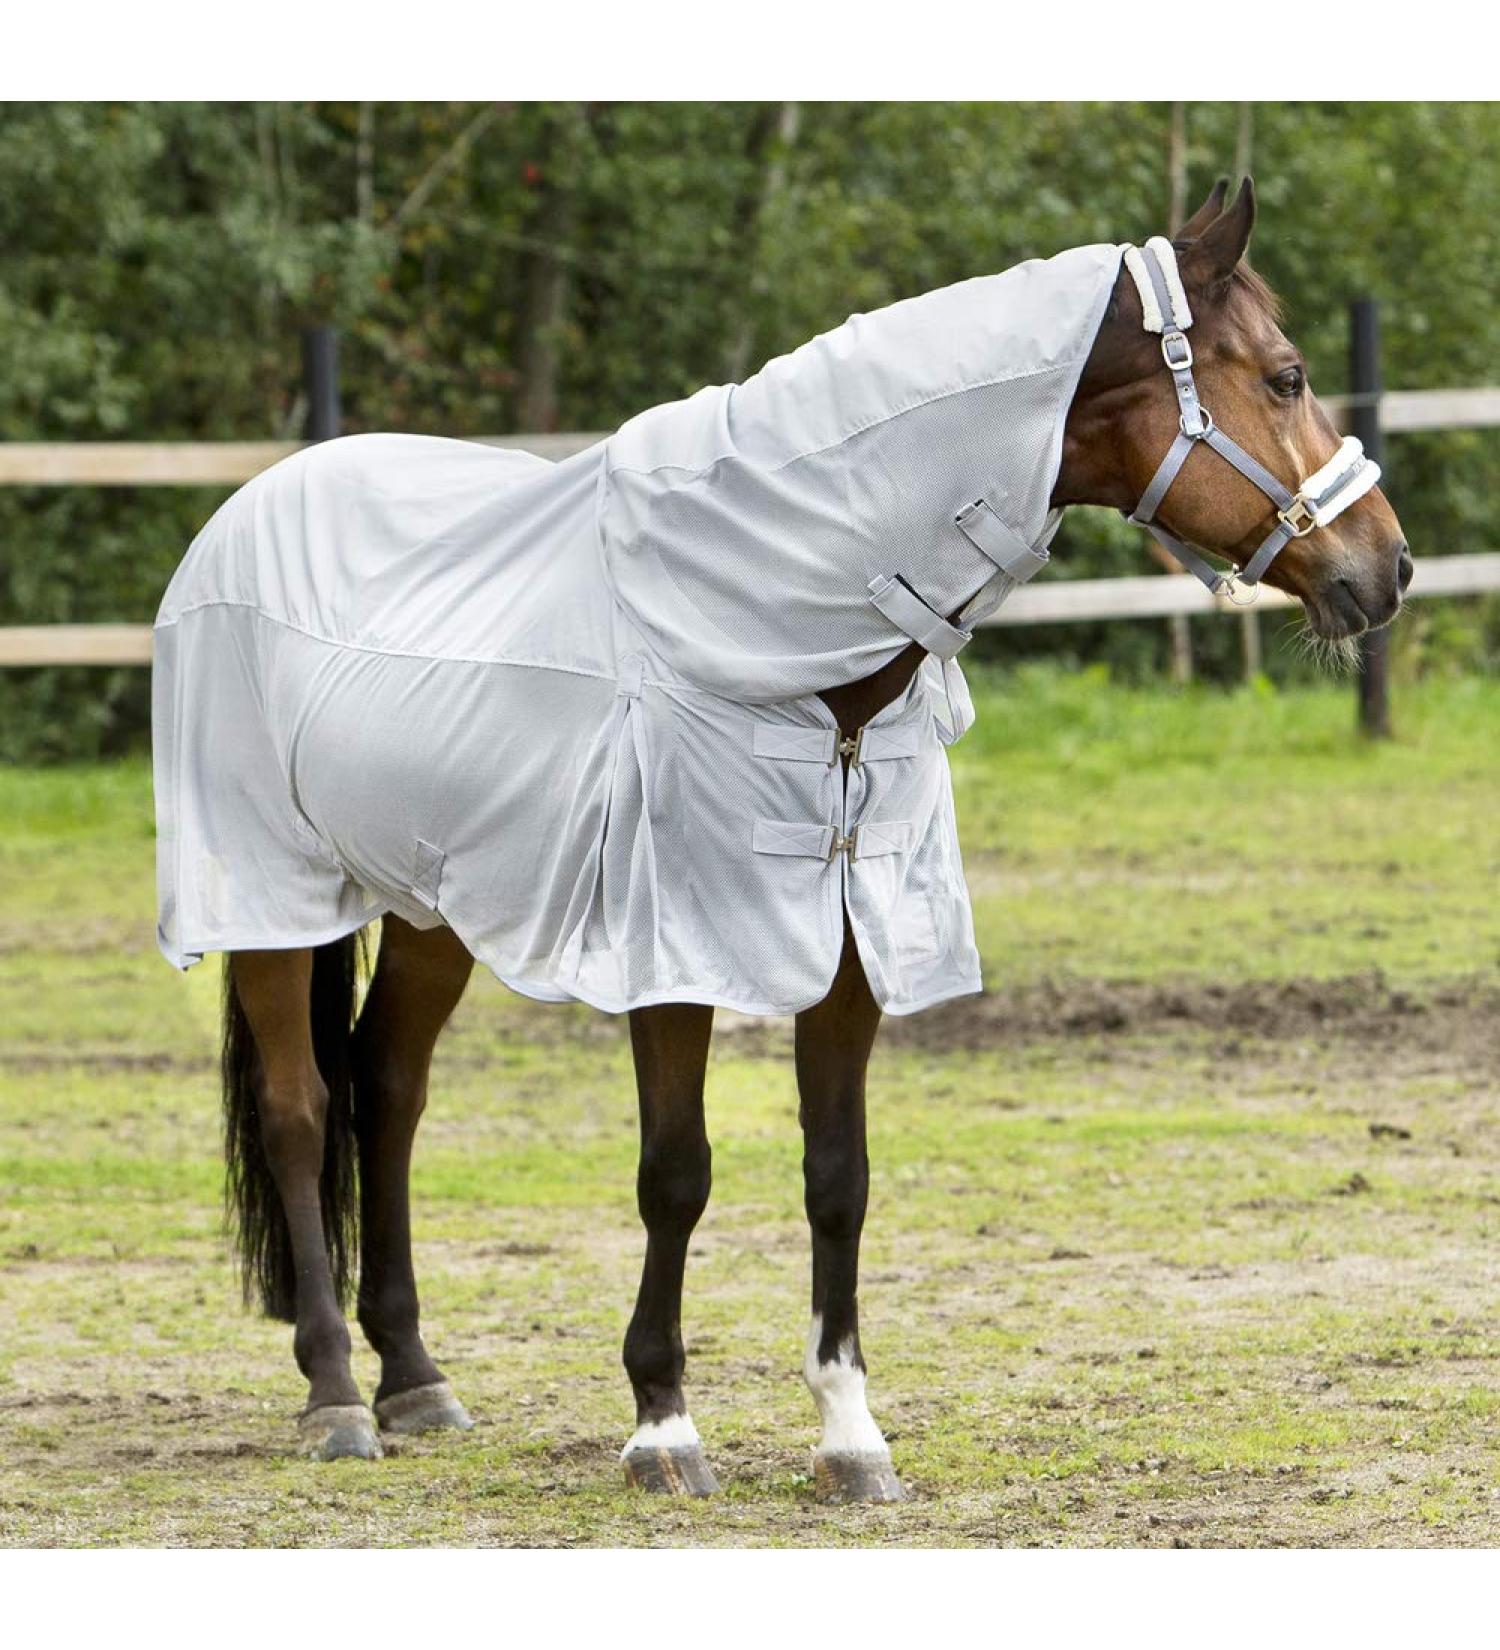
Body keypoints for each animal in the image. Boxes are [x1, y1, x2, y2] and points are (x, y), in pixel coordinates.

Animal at [157, 178, 1410, 1503]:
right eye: (1285, 377)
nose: (1388, 566)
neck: (782, 645)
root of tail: (248, 506)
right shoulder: (673, 954)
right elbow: (676, 1172)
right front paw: (662, 1426)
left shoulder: (853, 949)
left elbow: (837, 1179)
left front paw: (851, 1433)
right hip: (271, 897)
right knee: (302, 1112)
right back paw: (336, 1394)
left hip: (430, 900)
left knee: (387, 1094)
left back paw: (414, 1379)